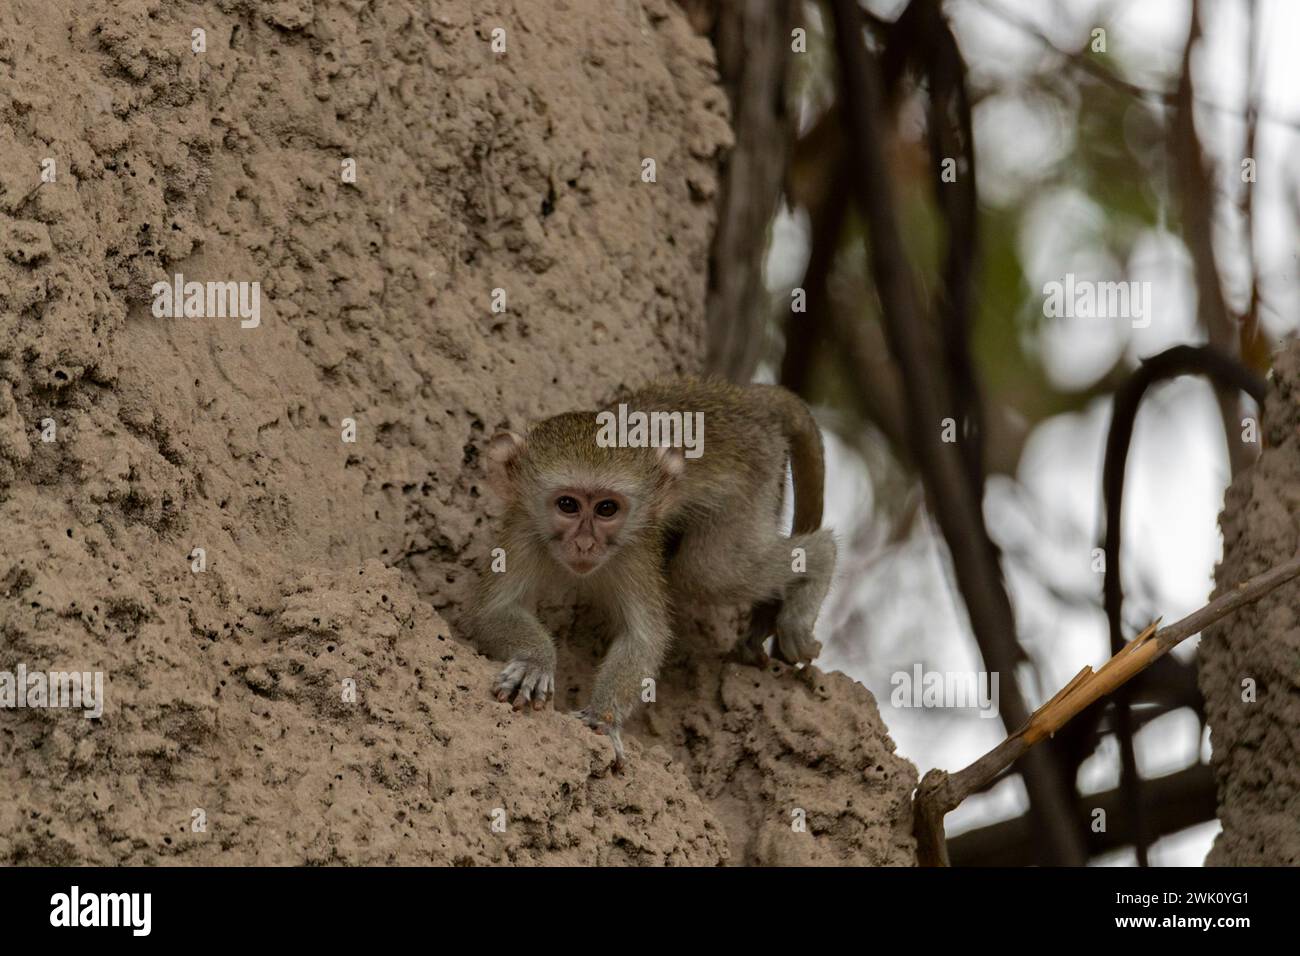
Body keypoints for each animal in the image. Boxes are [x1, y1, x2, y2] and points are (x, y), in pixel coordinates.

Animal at [462, 377, 837, 764]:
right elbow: (492, 611)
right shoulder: (523, 529)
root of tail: (745, 397)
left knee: (708, 571)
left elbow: (645, 636)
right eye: (567, 504)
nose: (585, 544)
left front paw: (603, 718)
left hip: (753, 476)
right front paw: (534, 661)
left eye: (607, 509)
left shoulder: (636, 547)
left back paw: (820, 560)